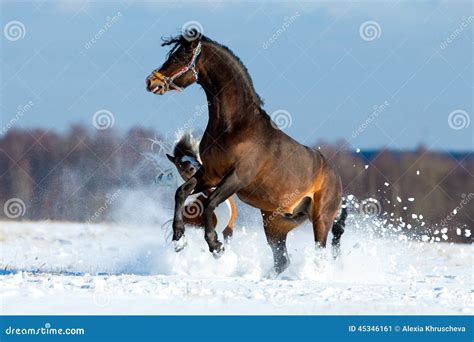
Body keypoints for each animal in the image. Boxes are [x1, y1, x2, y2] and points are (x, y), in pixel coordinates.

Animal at [146, 30, 346, 274]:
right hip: (276, 224)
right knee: (282, 260)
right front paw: (179, 239)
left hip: (321, 219)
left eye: (181, 57)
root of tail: (337, 178)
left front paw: (216, 247)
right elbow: (181, 192)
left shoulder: (237, 178)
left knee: (319, 253)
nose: (152, 82)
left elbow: (210, 203)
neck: (235, 127)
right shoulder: (210, 174)